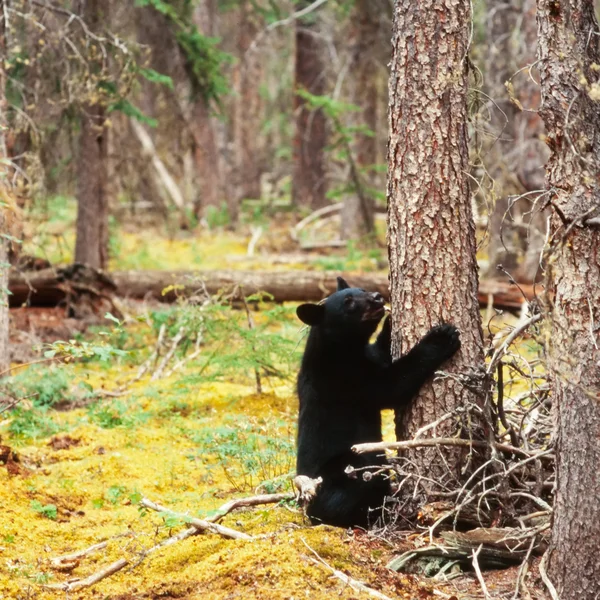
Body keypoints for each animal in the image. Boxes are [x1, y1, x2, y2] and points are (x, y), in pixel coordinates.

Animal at [298, 276, 462, 524]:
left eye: (362, 289)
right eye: (348, 302)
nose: (376, 297)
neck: (339, 350)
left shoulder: (367, 357)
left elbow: (381, 354)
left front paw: (391, 322)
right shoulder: (345, 381)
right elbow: (391, 387)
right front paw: (440, 337)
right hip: (344, 467)